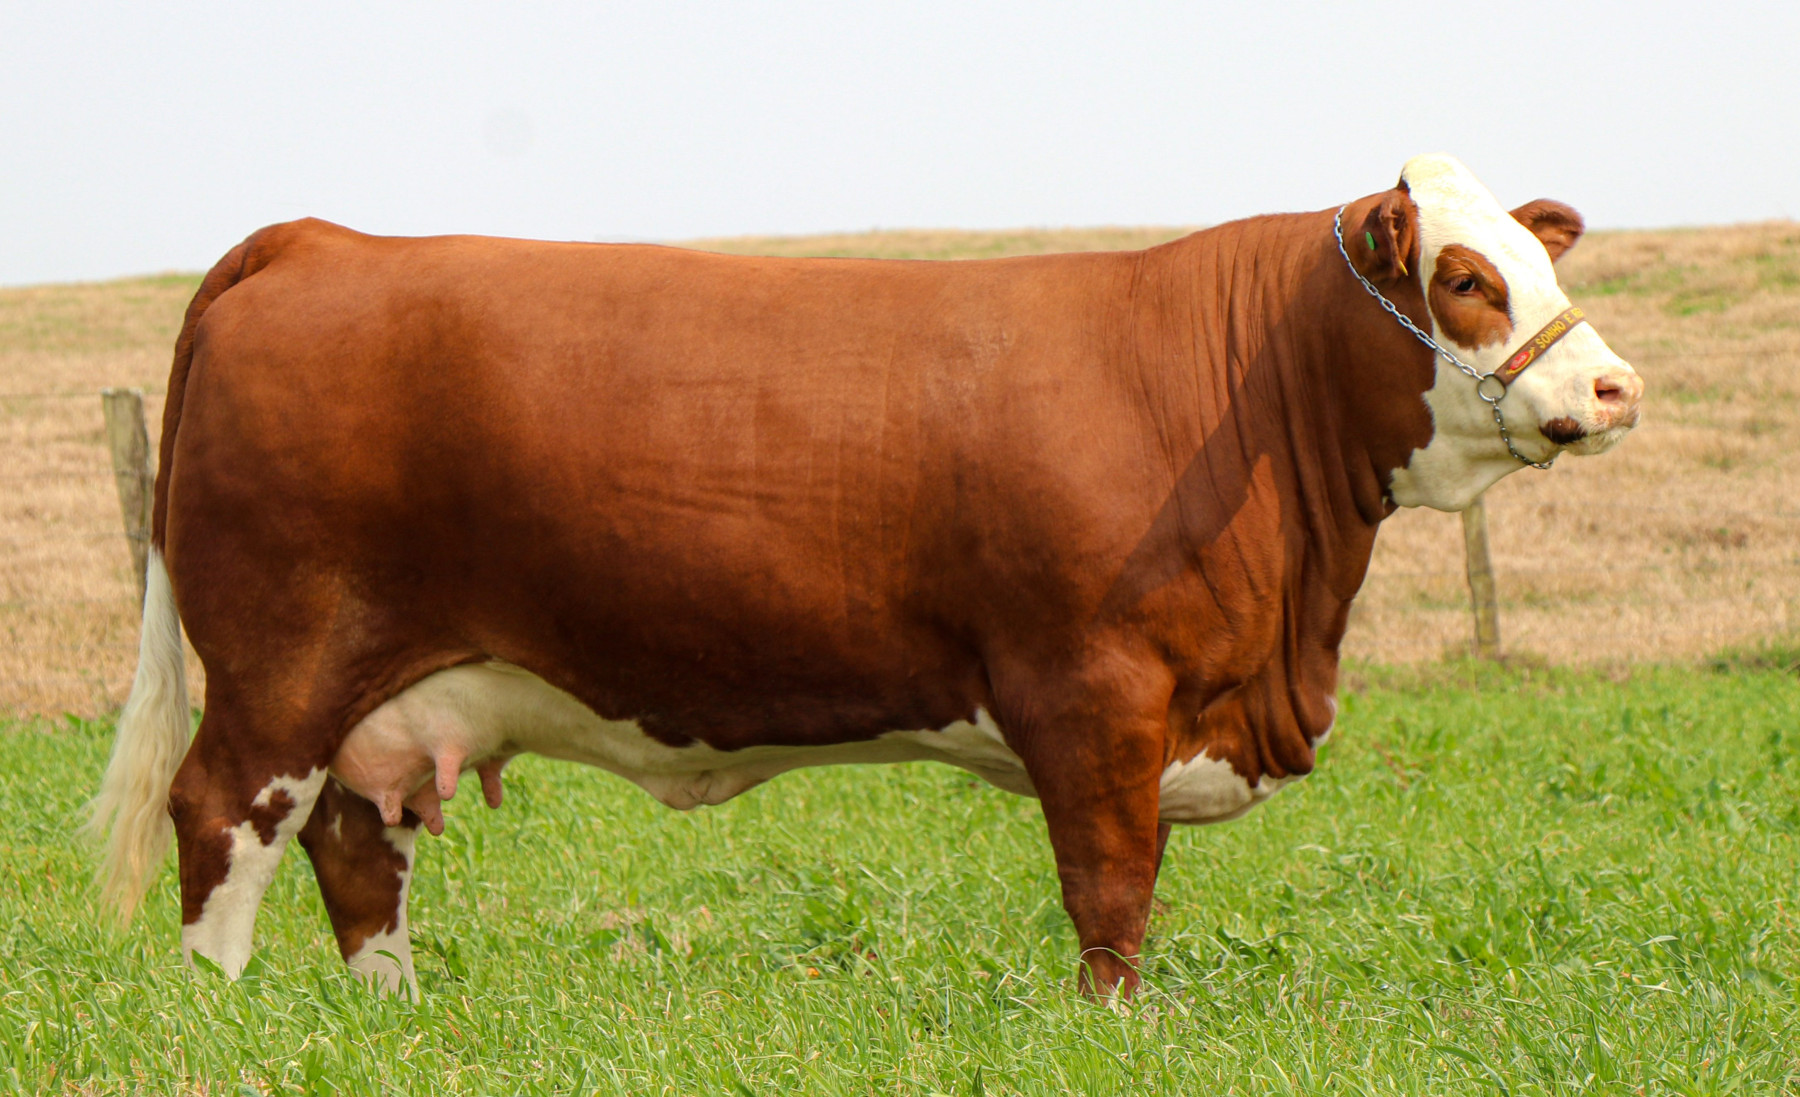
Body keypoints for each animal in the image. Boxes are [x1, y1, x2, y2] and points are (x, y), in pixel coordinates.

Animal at [88, 154, 1642, 998]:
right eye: (1465, 279)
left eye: (1534, 253)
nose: (1614, 386)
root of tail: (316, 240)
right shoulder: (1093, 690)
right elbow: (1111, 888)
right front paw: (1115, 1028)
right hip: (283, 656)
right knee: (225, 816)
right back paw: (226, 1012)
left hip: (384, 689)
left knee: (360, 846)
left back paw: (392, 1018)